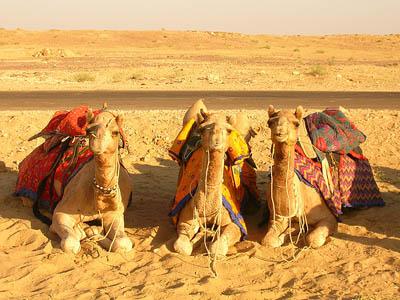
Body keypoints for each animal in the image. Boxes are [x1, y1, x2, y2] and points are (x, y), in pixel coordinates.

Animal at [28, 106, 134, 254]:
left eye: (115, 132)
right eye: (88, 130)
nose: (96, 140)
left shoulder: (115, 214)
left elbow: (123, 243)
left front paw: (93, 231)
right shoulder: (61, 212)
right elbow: (71, 243)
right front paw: (85, 231)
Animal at [171, 100, 253, 255]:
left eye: (228, 130)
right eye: (203, 128)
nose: (216, 141)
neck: (208, 208)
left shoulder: (235, 222)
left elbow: (217, 248)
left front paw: (209, 237)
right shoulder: (185, 220)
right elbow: (182, 247)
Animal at [262, 105, 338, 248]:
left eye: (296, 123)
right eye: (269, 123)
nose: (279, 132)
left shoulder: (329, 217)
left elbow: (312, 239)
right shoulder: (277, 217)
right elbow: (268, 241)